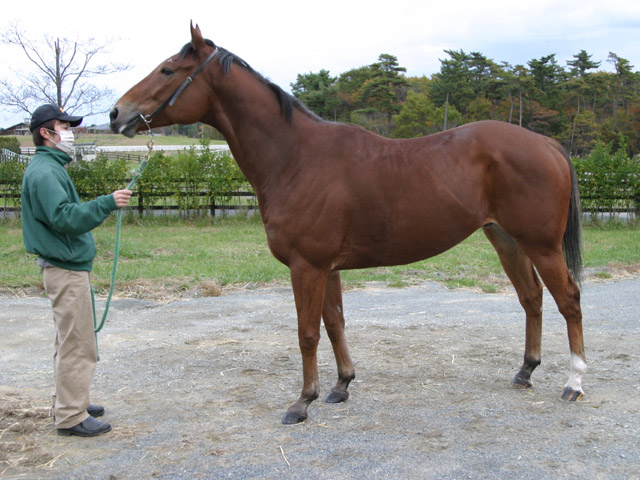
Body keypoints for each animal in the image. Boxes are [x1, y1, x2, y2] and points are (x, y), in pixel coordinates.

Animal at [110, 23, 586, 425]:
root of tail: (547, 143)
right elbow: (335, 323)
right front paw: (341, 386)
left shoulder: (307, 266)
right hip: (506, 239)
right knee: (532, 299)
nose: (116, 114)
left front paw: (302, 402)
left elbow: (307, 333)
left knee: (568, 299)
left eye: (167, 69)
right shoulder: (328, 268)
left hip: (541, 245)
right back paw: (525, 372)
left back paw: (574, 382)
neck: (295, 157)